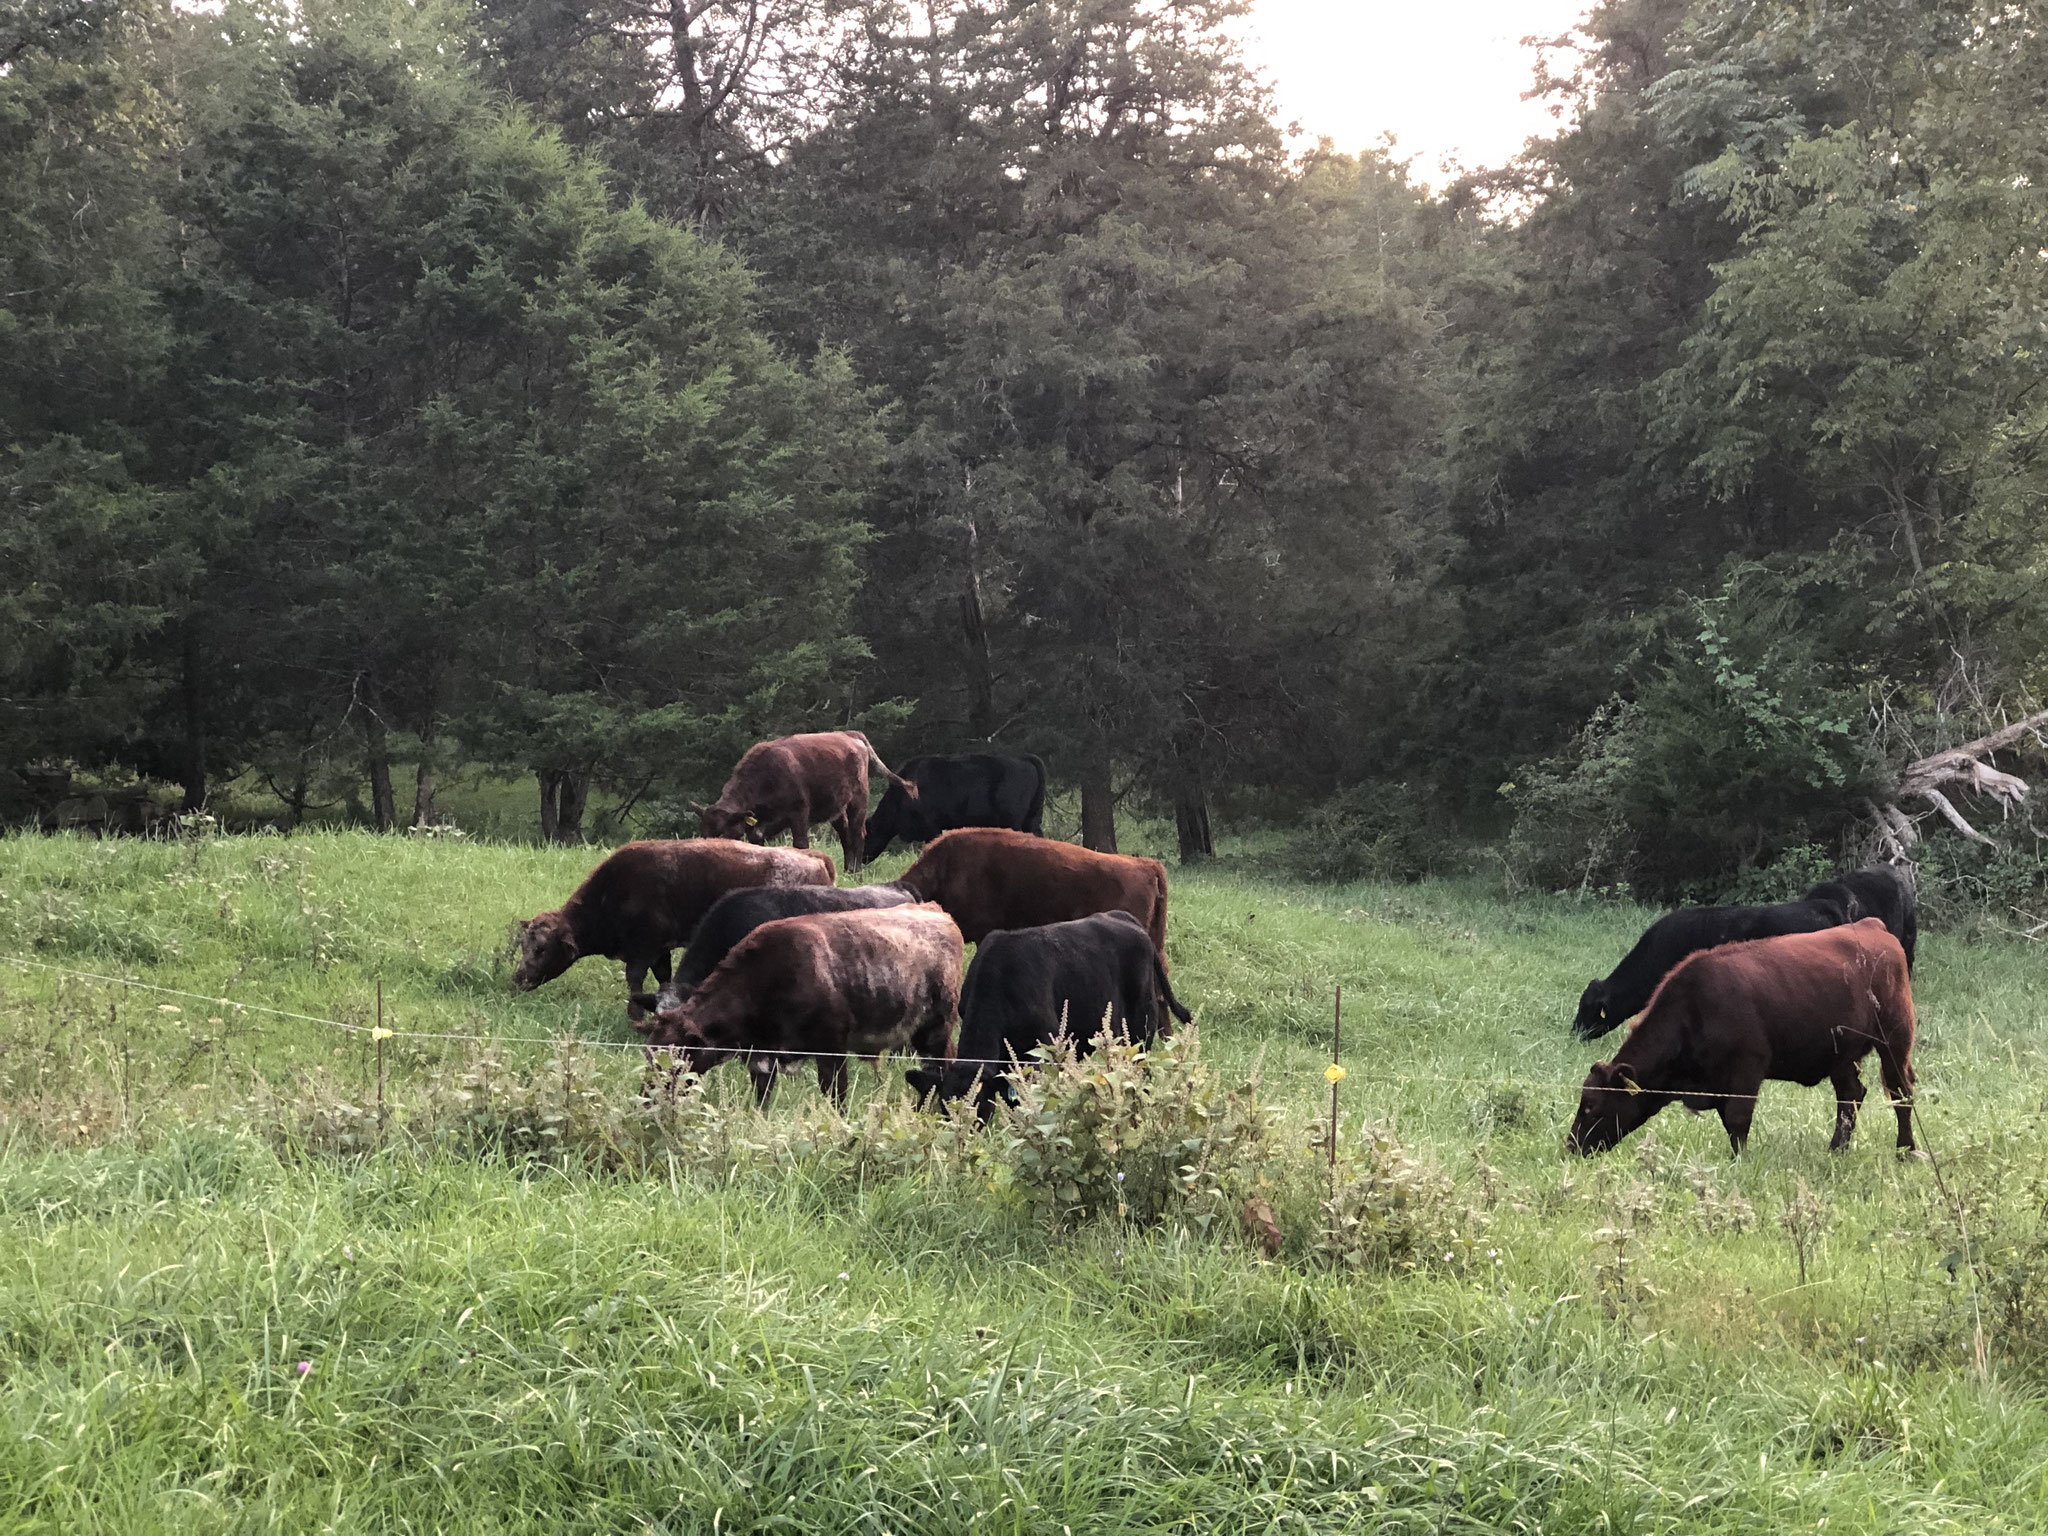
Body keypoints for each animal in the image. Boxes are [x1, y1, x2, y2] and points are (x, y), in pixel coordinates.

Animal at [513, 840, 835, 1017]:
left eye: (541, 948)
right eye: (524, 945)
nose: (518, 978)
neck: (613, 891)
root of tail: (814, 857)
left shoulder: (644, 947)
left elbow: (634, 978)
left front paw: (634, 1015)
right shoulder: (660, 951)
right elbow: (662, 978)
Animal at [643, 904, 963, 1107]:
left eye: (676, 1062)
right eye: (648, 1055)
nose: (647, 1099)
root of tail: (936, 911)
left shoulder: (831, 1048)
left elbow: (836, 1096)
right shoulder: (762, 1060)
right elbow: (761, 1100)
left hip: (935, 1029)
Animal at [697, 730, 916, 874]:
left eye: (722, 833)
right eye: (704, 833)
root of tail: (850, 734)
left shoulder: (799, 812)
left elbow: (801, 844)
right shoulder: (760, 824)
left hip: (858, 800)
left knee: (857, 834)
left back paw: (857, 873)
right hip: (837, 808)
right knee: (845, 834)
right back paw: (847, 871)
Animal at [862, 752, 1047, 862]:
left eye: (865, 835)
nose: (859, 860)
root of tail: (1025, 758)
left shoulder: (931, 827)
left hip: (1012, 820)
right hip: (1032, 819)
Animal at [1566, 919, 1917, 1158]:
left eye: (1592, 1106)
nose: (1571, 1146)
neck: (1695, 1006)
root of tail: (1871, 926)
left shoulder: (1747, 1068)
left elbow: (1737, 1120)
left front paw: (1741, 1163)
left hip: (1895, 1041)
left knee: (1902, 1093)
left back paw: (1906, 1151)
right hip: (1841, 1056)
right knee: (1851, 1096)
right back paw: (1836, 1150)